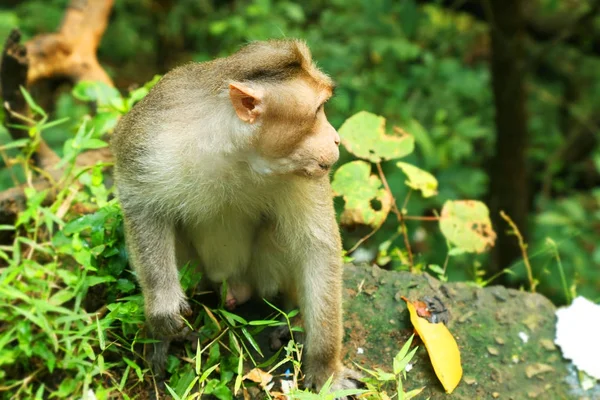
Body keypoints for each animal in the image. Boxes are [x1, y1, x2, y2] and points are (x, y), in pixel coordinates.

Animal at [109, 39, 358, 392]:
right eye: (317, 111)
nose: (335, 139)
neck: (237, 152)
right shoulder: (151, 142)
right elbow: (141, 206)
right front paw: (162, 307)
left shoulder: (305, 172)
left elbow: (317, 249)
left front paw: (325, 370)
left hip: (261, 273)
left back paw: (293, 320)